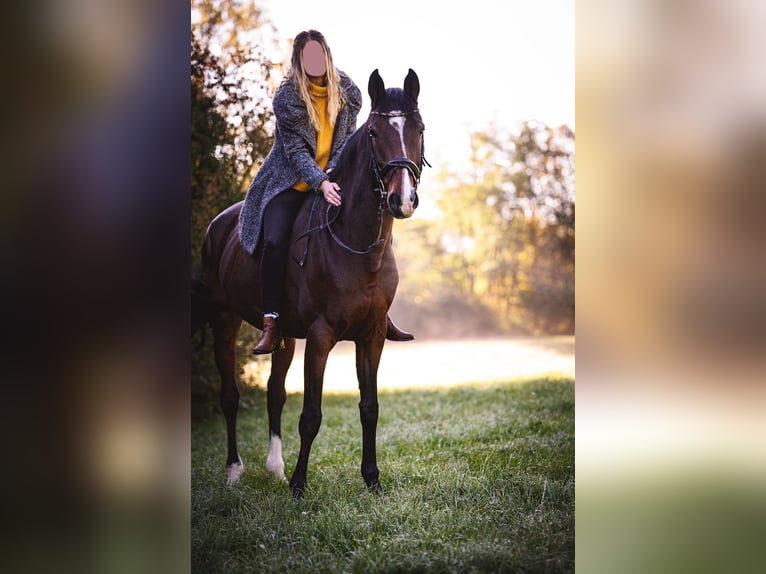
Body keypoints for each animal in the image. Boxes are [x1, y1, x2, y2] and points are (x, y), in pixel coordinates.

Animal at [192, 68, 428, 500]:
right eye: (374, 133)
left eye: (418, 129)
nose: (401, 199)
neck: (356, 245)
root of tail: (219, 225)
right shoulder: (320, 337)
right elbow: (311, 414)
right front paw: (300, 485)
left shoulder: (371, 336)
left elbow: (369, 407)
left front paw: (372, 479)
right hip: (223, 320)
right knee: (230, 397)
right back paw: (235, 470)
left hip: (283, 334)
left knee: (274, 393)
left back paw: (274, 468)